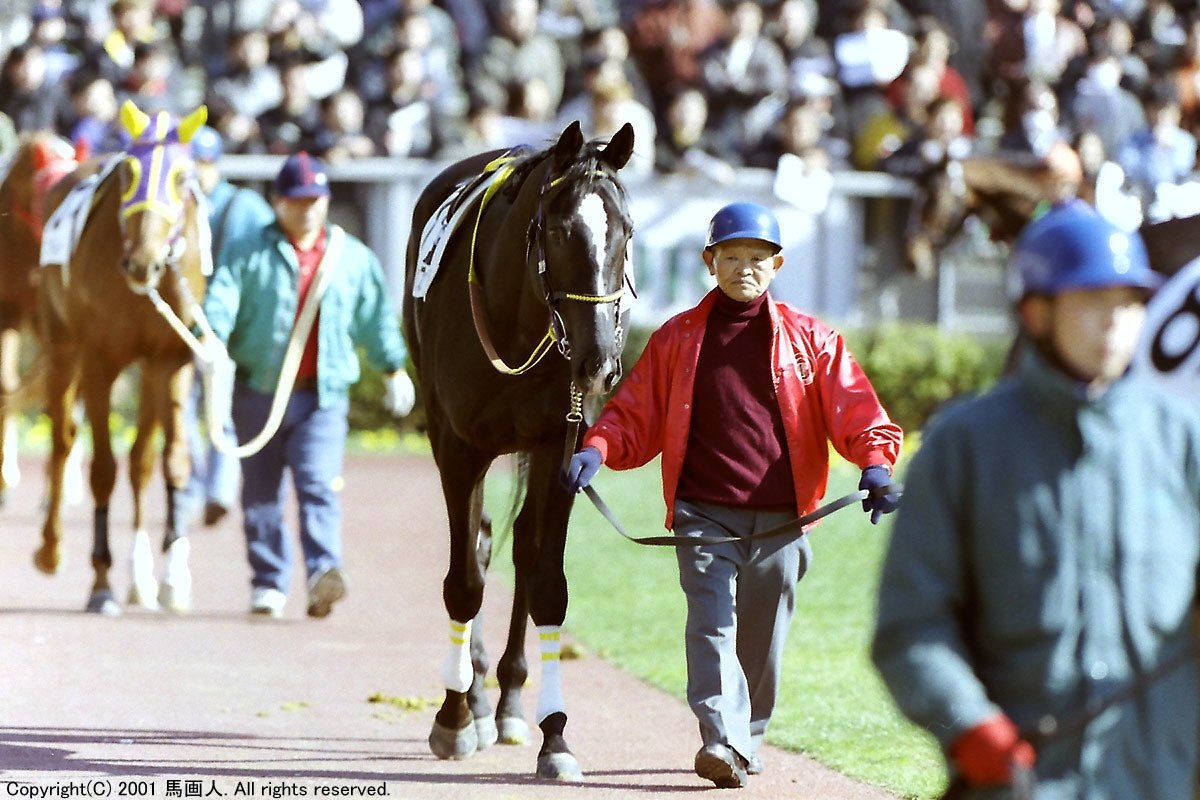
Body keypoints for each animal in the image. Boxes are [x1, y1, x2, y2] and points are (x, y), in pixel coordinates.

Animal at [34, 100, 209, 615]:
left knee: (141, 461)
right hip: (62, 345)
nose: (142, 263)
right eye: (130, 172)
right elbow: (102, 468)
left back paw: (141, 577)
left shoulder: (171, 357)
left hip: (148, 370)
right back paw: (51, 549)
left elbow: (172, 461)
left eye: (182, 177)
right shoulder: (99, 359)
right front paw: (100, 583)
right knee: (63, 440)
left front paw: (173, 579)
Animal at [403, 120, 636, 780]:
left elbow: (547, 580)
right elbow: (464, 580)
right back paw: (477, 699)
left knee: (522, 553)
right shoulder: (457, 445)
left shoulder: (563, 442)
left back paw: (506, 701)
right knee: (481, 544)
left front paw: (554, 737)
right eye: (559, 231)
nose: (600, 360)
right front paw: (454, 717)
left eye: (625, 231)